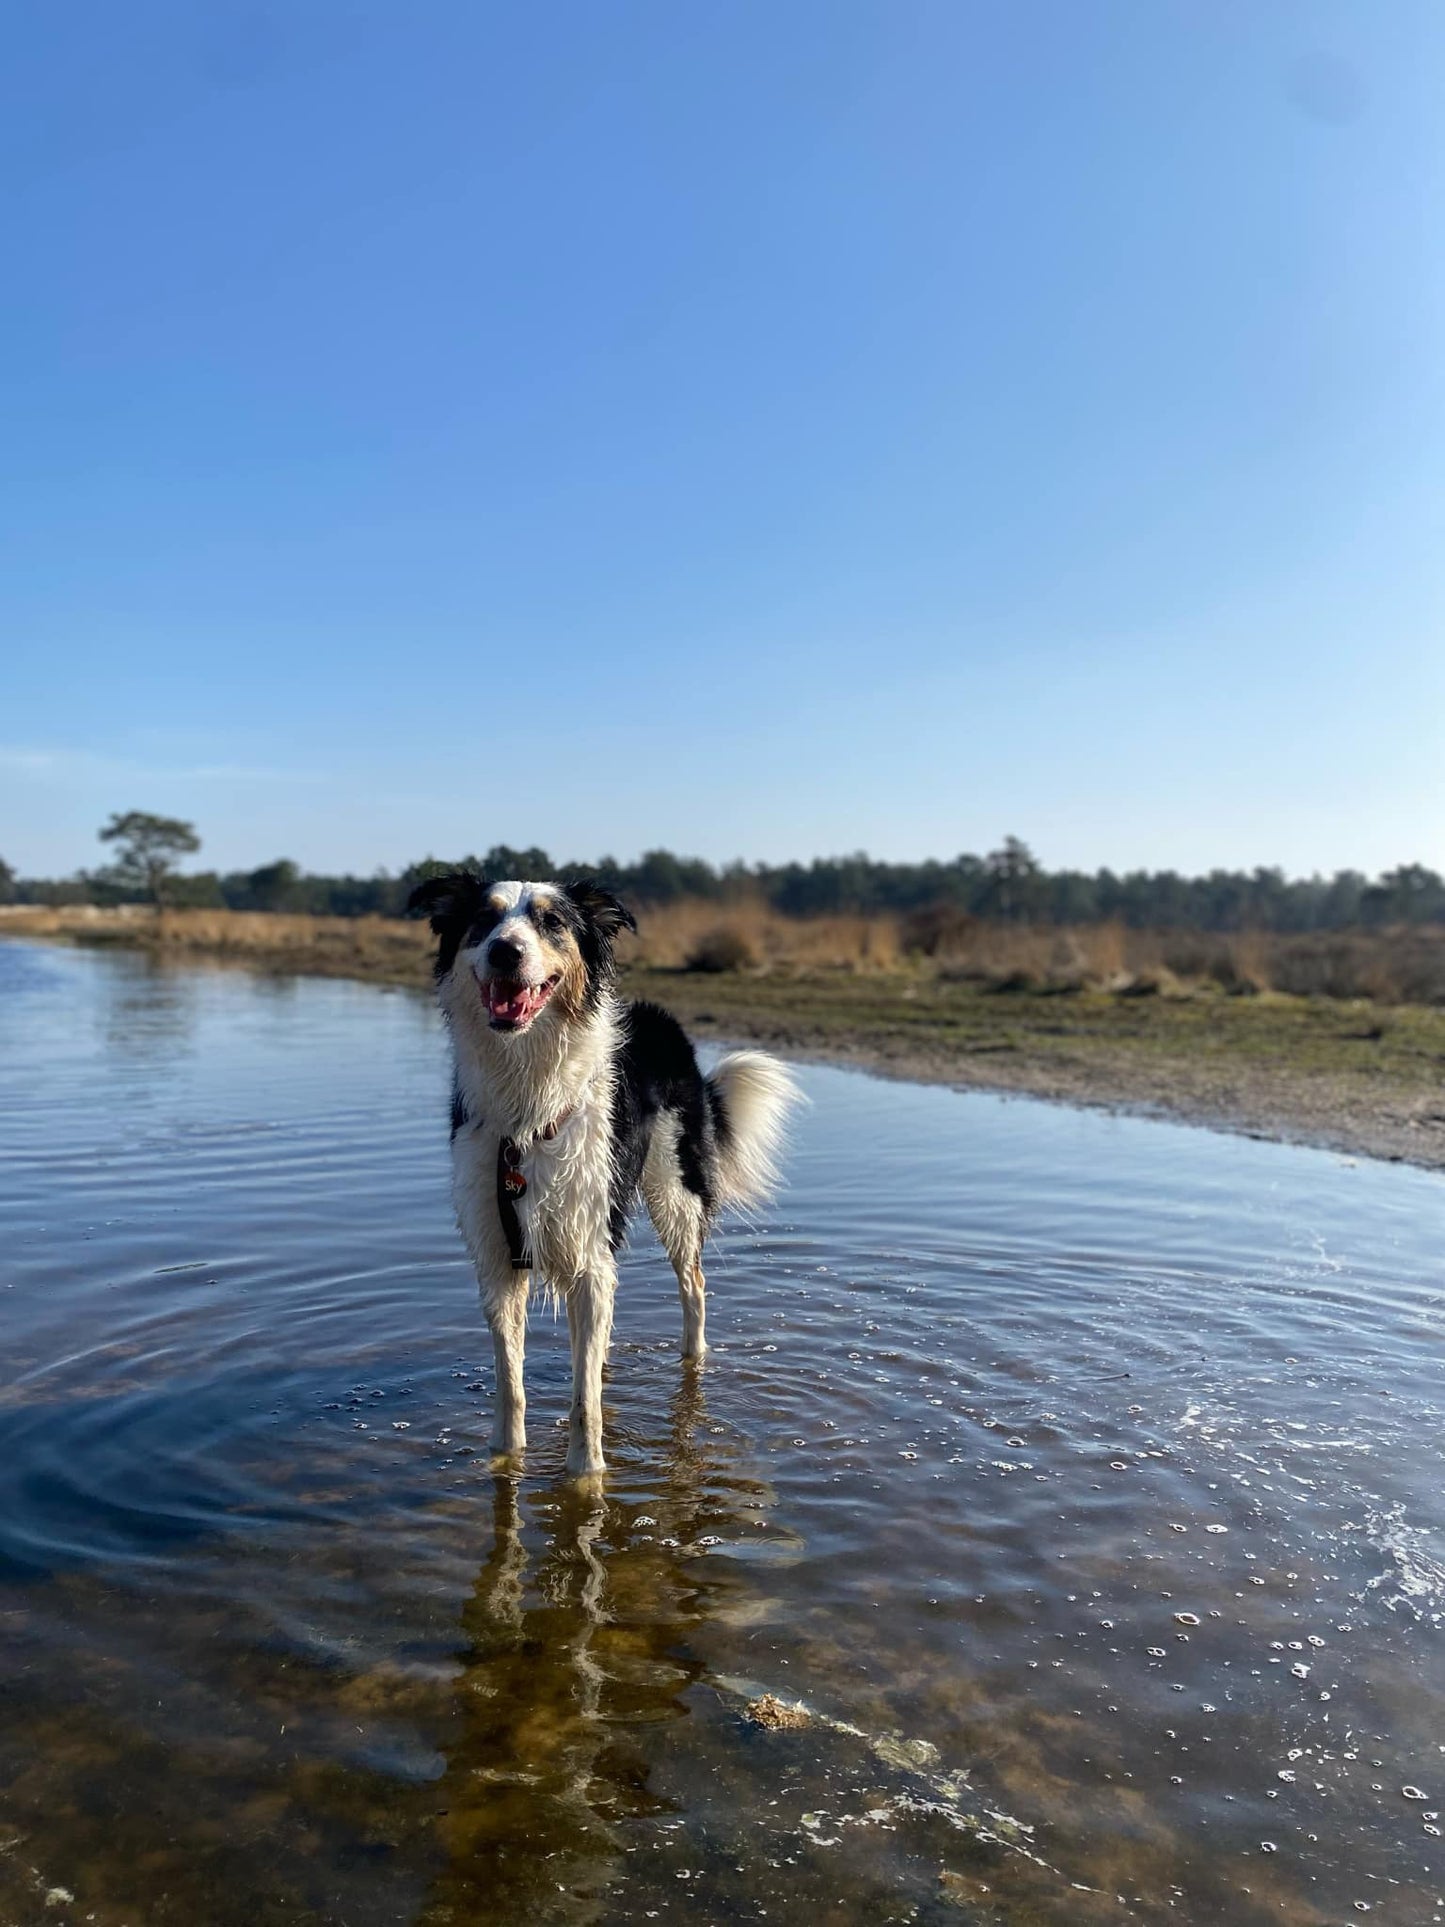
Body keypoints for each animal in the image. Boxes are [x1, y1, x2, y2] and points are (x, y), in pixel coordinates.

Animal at [408, 874, 805, 1472]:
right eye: (483, 919)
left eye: (551, 922)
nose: (506, 951)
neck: (529, 1094)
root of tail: (662, 1022)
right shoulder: (499, 1256)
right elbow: (511, 1381)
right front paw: (506, 1463)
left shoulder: (588, 1249)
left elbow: (583, 1401)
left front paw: (586, 1479)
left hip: (673, 1194)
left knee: (693, 1288)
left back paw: (693, 1365)